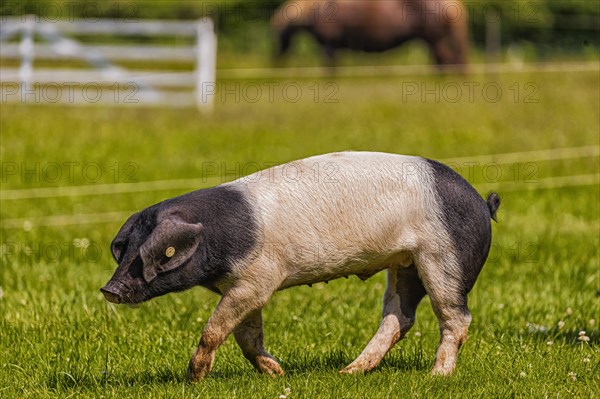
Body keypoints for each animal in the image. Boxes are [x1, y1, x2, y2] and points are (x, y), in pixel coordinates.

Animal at [101, 152, 500, 382]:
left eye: (152, 257)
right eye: (125, 251)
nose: (109, 289)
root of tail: (483, 203)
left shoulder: (258, 278)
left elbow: (215, 329)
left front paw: (193, 378)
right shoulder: (246, 284)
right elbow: (246, 336)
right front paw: (277, 374)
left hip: (444, 258)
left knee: (456, 317)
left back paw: (437, 376)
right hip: (404, 263)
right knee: (398, 317)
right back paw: (349, 371)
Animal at [272, 0, 468, 71]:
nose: (276, 63)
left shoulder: (330, 45)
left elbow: (330, 68)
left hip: (436, 40)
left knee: (447, 61)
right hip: (434, 41)